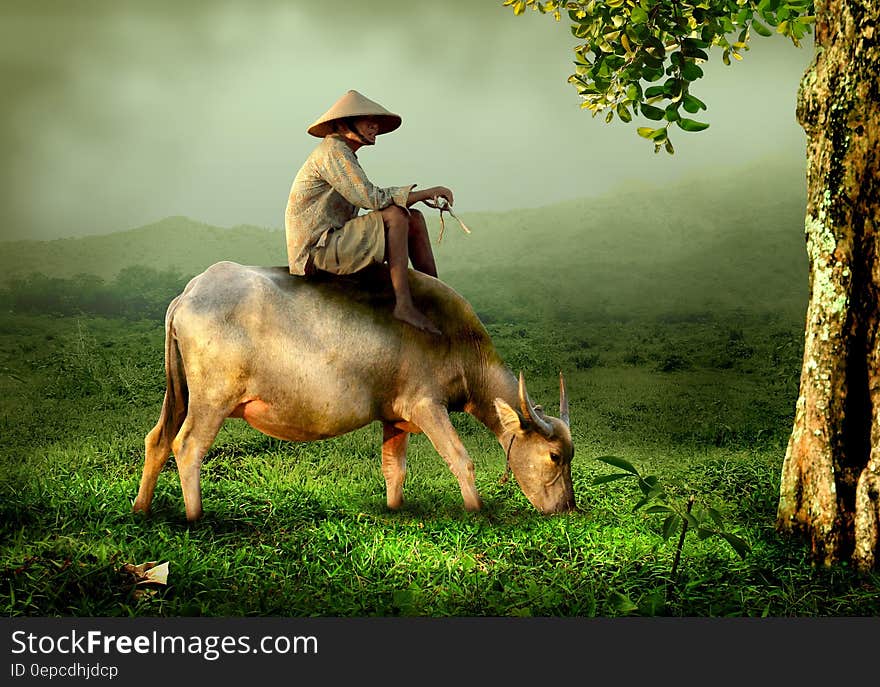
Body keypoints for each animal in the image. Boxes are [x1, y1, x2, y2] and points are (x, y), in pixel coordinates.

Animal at [129, 260, 572, 520]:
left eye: (570, 457)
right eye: (553, 456)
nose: (568, 507)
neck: (457, 340)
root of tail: (190, 293)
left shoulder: (396, 416)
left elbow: (394, 469)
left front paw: (395, 510)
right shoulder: (427, 406)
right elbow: (461, 459)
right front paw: (477, 510)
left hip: (179, 393)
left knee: (158, 439)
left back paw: (141, 508)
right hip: (211, 400)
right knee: (188, 445)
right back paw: (195, 517)